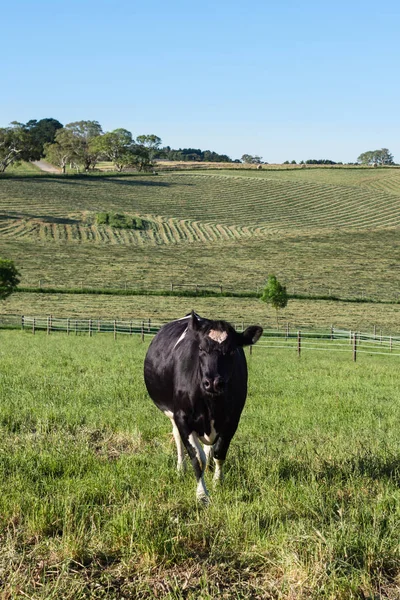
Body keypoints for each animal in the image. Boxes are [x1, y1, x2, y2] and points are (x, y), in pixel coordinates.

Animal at [143, 312, 262, 504]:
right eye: (201, 349)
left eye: (231, 350)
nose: (213, 382)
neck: (211, 403)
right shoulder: (182, 417)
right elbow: (198, 458)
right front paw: (202, 494)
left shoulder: (232, 420)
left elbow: (219, 452)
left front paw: (217, 482)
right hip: (173, 414)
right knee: (178, 437)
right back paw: (181, 468)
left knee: (209, 448)